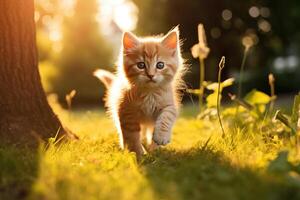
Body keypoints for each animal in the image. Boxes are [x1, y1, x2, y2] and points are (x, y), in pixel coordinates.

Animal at [94, 27, 185, 157]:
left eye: (160, 65)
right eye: (141, 65)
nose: (151, 75)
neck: (149, 93)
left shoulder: (170, 104)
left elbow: (167, 116)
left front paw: (160, 137)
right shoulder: (126, 111)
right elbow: (131, 135)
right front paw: (138, 153)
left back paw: (155, 149)